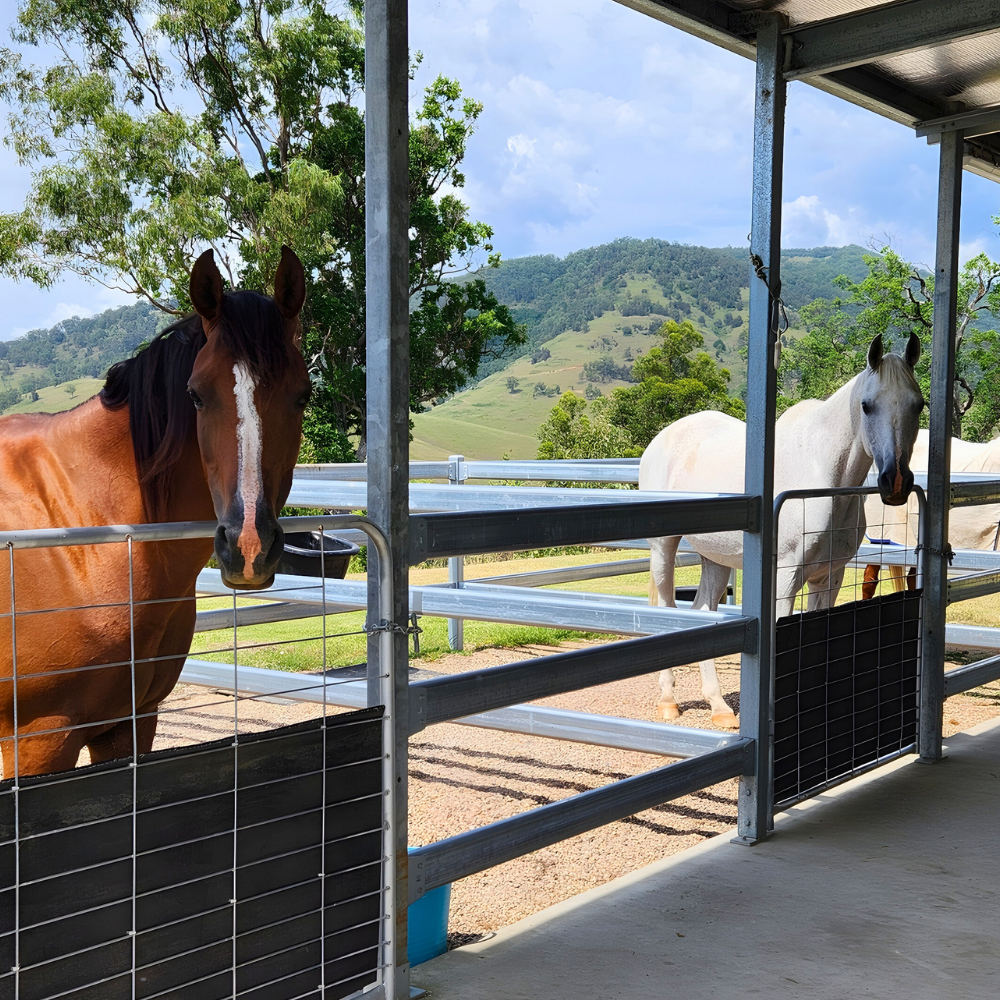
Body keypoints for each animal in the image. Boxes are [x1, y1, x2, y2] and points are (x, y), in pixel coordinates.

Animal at [639, 333, 924, 728]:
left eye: (919, 405)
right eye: (867, 406)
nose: (895, 482)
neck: (822, 474)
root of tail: (662, 438)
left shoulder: (829, 577)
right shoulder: (786, 577)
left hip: (716, 559)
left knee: (703, 612)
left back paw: (719, 707)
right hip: (663, 548)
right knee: (667, 609)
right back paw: (668, 701)